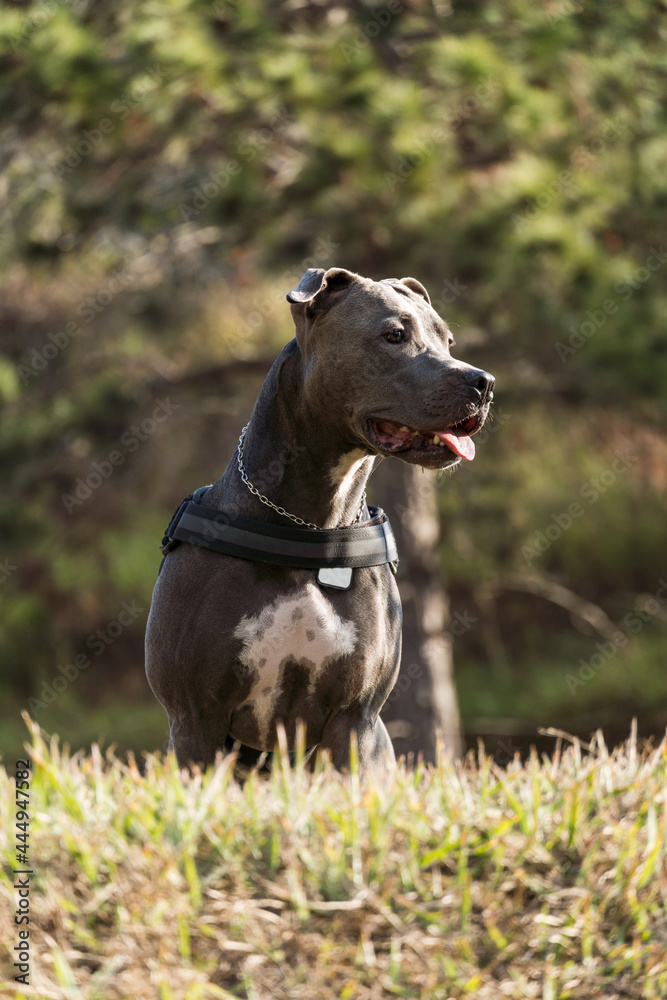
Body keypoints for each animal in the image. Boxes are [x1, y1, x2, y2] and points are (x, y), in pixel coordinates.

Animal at [149, 270, 498, 776]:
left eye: (447, 340)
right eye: (394, 335)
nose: (484, 383)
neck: (310, 525)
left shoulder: (355, 717)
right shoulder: (195, 717)